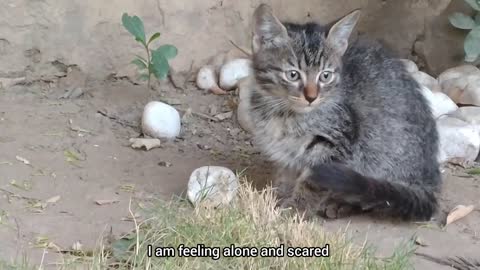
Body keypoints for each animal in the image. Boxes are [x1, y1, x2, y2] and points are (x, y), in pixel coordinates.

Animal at [248, 4, 442, 220]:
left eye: (325, 76)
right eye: (293, 75)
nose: (311, 97)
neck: (283, 113)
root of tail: (429, 180)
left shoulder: (335, 144)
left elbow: (313, 182)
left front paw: (296, 209)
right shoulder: (287, 152)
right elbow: (287, 173)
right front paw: (278, 195)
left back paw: (341, 204)